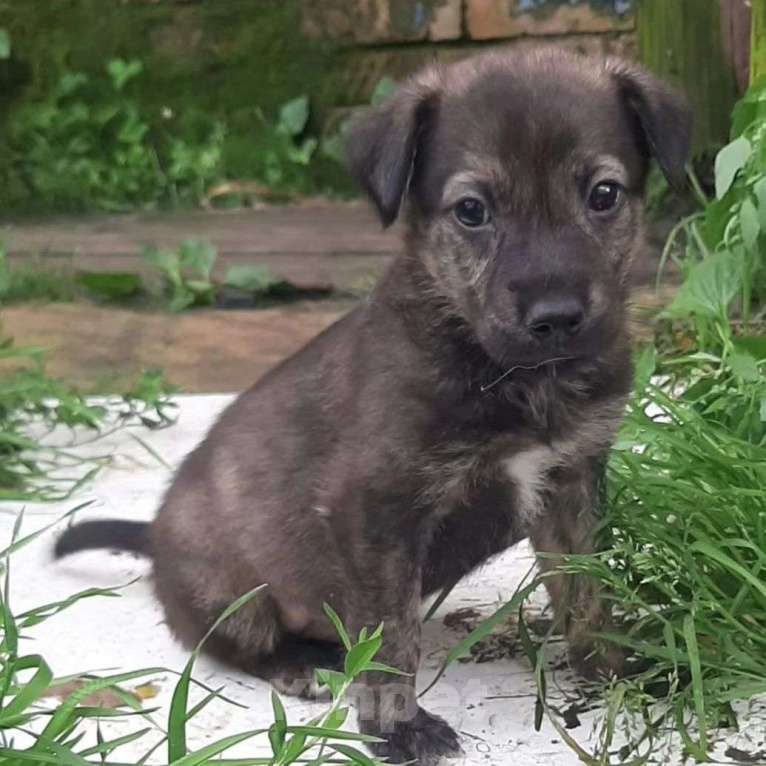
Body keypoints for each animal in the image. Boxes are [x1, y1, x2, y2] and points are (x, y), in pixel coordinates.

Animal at [52, 49, 688, 766]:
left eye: (603, 195)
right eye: (472, 211)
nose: (556, 318)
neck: (513, 377)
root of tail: (154, 539)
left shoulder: (570, 484)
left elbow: (586, 591)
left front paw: (613, 668)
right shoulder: (375, 511)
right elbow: (390, 637)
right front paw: (395, 726)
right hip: (232, 595)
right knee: (235, 644)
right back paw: (301, 662)